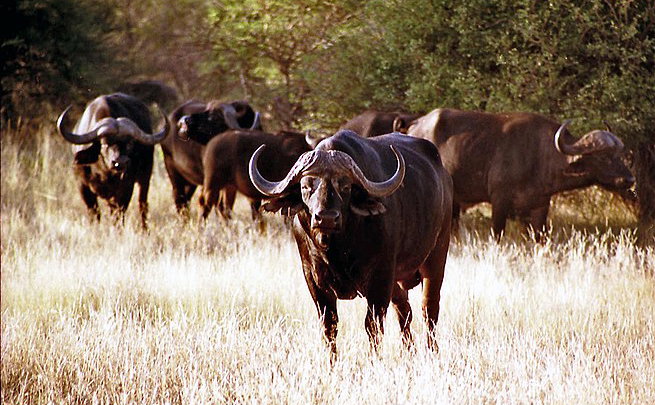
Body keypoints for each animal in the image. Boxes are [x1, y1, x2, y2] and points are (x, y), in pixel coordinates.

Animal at [56, 93, 170, 228]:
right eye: (104, 144)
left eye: (130, 143)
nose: (120, 162)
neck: (104, 173)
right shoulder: (82, 186)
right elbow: (94, 213)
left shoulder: (126, 187)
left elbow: (119, 214)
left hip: (145, 177)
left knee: (142, 205)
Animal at [249, 130, 453, 356]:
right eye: (305, 186)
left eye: (345, 186)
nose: (326, 218)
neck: (336, 250)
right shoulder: (313, 280)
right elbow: (329, 326)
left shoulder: (380, 279)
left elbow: (373, 326)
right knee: (404, 310)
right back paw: (409, 352)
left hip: (436, 258)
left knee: (429, 310)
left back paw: (433, 352)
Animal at [407, 108, 636, 239]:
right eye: (603, 157)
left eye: (619, 155)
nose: (629, 179)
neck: (539, 156)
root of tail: (415, 126)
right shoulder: (499, 201)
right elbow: (497, 236)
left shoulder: (540, 207)